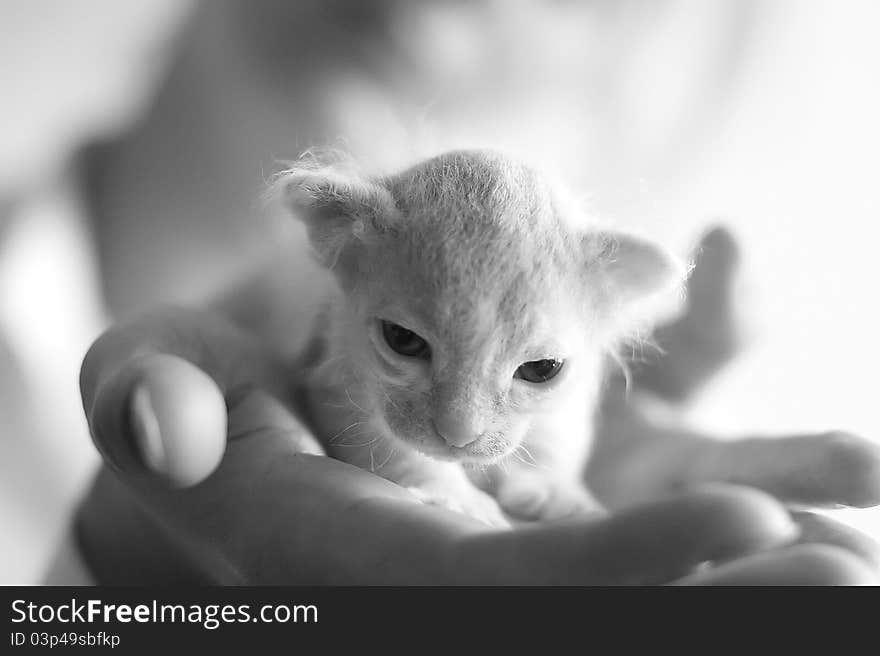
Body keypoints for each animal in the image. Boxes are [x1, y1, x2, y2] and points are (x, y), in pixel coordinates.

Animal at [278, 150, 684, 528]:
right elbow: (388, 446)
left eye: (542, 369)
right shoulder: (332, 376)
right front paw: (456, 497)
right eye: (402, 339)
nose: (458, 436)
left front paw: (556, 491)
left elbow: (557, 436)